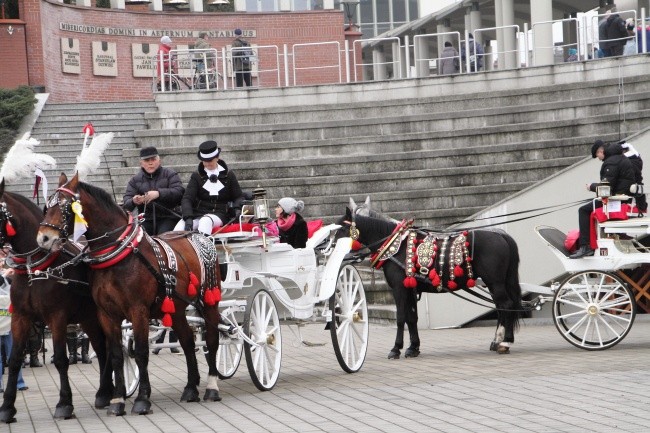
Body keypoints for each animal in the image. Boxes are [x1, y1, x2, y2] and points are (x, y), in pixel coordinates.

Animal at [0, 179, 112, 422]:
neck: (36, 268)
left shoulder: (57, 317)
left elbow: (61, 359)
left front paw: (64, 404)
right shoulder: (20, 317)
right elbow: (14, 360)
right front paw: (7, 407)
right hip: (89, 319)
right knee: (102, 349)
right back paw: (104, 393)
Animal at [36, 172, 223, 416]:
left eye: (66, 207)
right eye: (47, 206)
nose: (43, 238)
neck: (119, 256)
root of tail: (196, 233)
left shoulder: (138, 311)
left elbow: (141, 352)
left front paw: (142, 399)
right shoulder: (107, 314)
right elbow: (116, 355)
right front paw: (117, 400)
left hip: (209, 300)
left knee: (212, 340)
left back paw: (212, 387)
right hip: (176, 309)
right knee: (188, 341)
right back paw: (191, 388)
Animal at [340, 208, 520, 356]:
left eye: (341, 228)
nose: (332, 246)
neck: (396, 246)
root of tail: (500, 234)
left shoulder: (399, 288)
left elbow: (401, 317)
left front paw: (396, 348)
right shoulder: (410, 289)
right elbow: (412, 317)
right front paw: (413, 348)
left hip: (495, 283)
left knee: (507, 305)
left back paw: (505, 342)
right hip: (495, 283)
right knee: (501, 308)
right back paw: (497, 341)